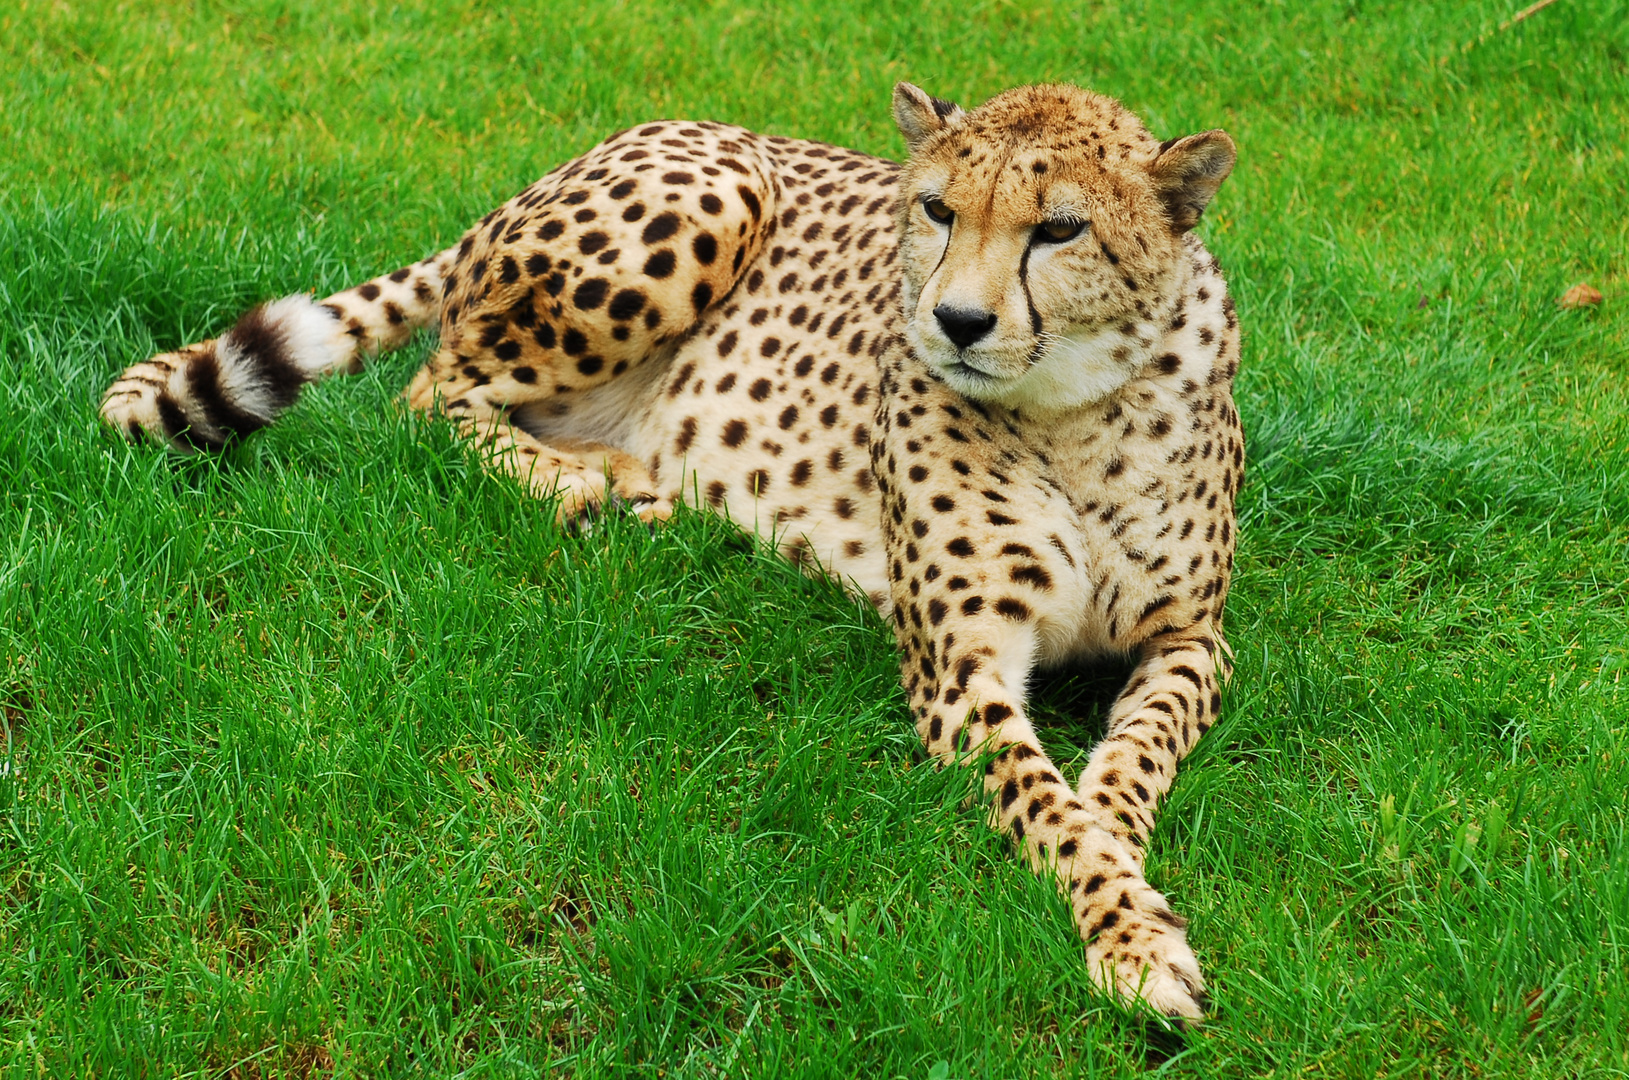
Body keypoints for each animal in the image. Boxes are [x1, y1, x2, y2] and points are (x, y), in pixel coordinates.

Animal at [105, 82, 1244, 1022]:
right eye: (936, 211)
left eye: (1059, 229)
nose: (954, 321)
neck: (1071, 413)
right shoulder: (956, 661)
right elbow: (1045, 806)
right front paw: (1132, 935)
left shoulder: (1195, 638)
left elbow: (1131, 760)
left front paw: (1121, 851)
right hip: (705, 206)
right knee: (428, 393)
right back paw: (589, 488)